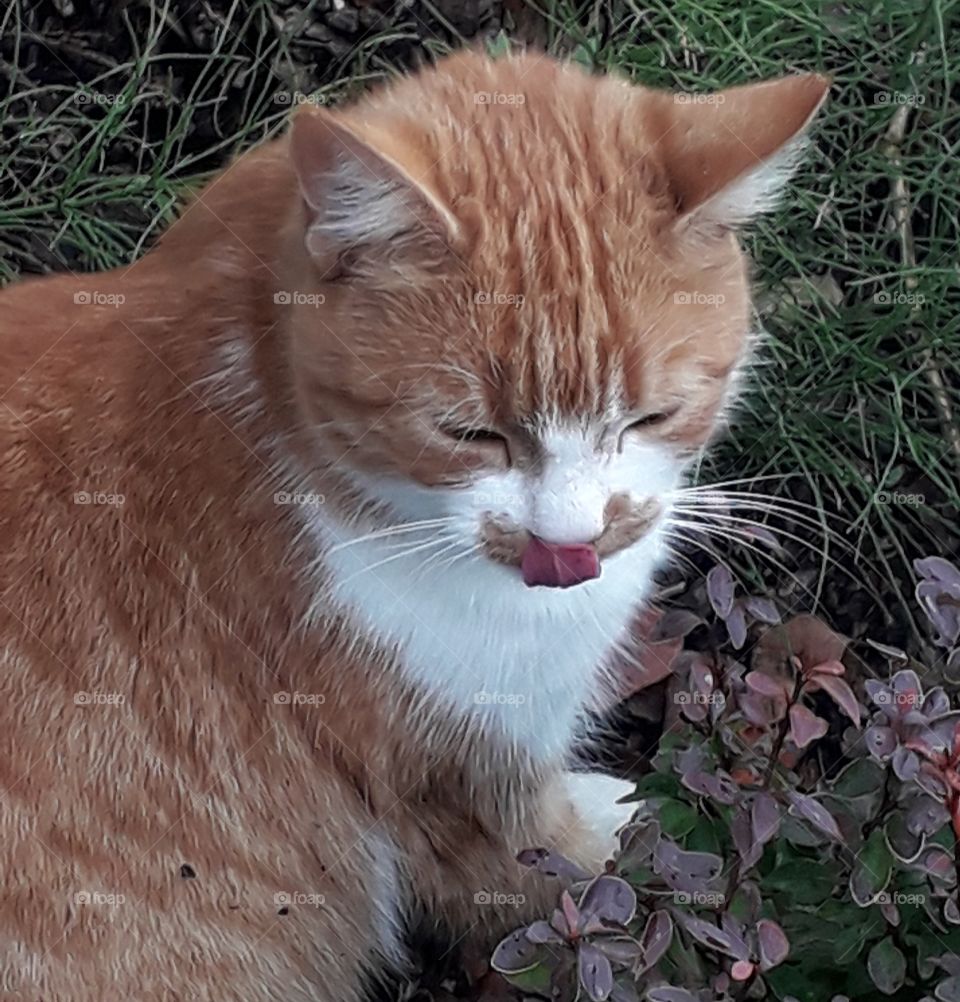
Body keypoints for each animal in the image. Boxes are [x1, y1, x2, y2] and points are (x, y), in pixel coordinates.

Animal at [0, 52, 825, 1002]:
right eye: (469, 433)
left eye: (651, 418)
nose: (572, 546)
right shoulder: (455, 788)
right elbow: (560, 868)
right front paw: (635, 831)